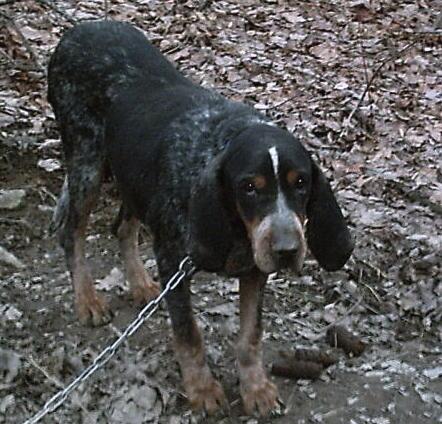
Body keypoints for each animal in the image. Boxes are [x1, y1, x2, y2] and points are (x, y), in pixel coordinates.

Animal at [47, 21, 352, 416]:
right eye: (248, 188)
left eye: (300, 183)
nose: (287, 251)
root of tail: (79, 29)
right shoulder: (173, 260)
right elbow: (189, 334)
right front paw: (202, 388)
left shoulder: (255, 271)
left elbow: (250, 336)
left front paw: (255, 388)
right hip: (87, 162)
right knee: (72, 232)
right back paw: (87, 301)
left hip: (134, 177)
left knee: (122, 227)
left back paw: (139, 284)